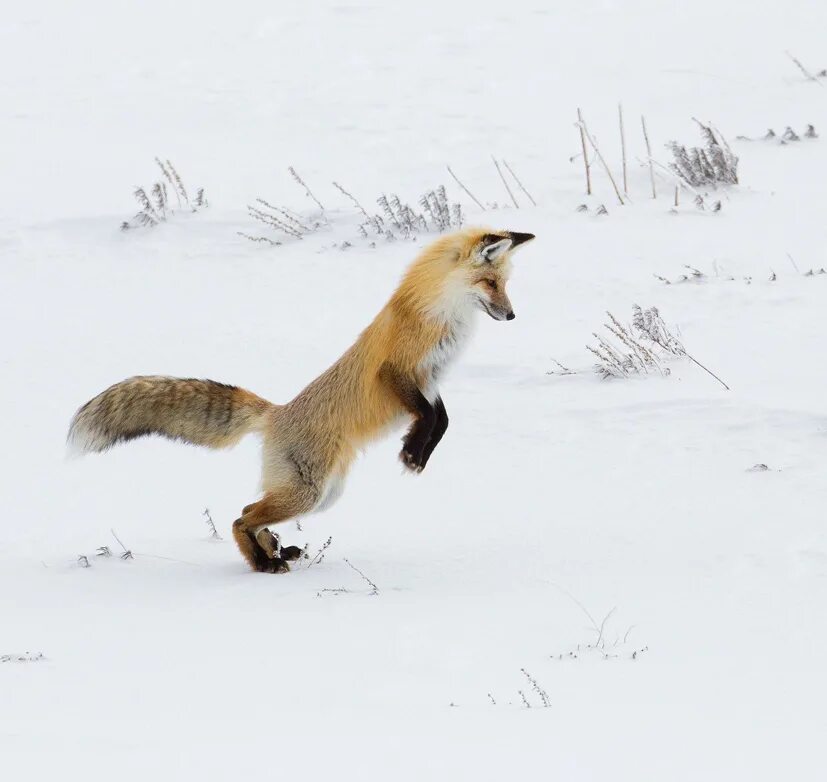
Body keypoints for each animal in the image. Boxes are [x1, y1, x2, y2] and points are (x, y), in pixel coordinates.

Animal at [71, 227, 536, 568]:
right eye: (490, 283)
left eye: (505, 284)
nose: (513, 315)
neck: (440, 316)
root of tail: (276, 413)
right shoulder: (398, 372)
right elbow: (428, 417)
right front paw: (411, 452)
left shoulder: (431, 380)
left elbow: (441, 420)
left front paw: (416, 452)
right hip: (309, 492)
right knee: (240, 516)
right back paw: (264, 563)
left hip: (322, 494)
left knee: (249, 509)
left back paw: (275, 550)